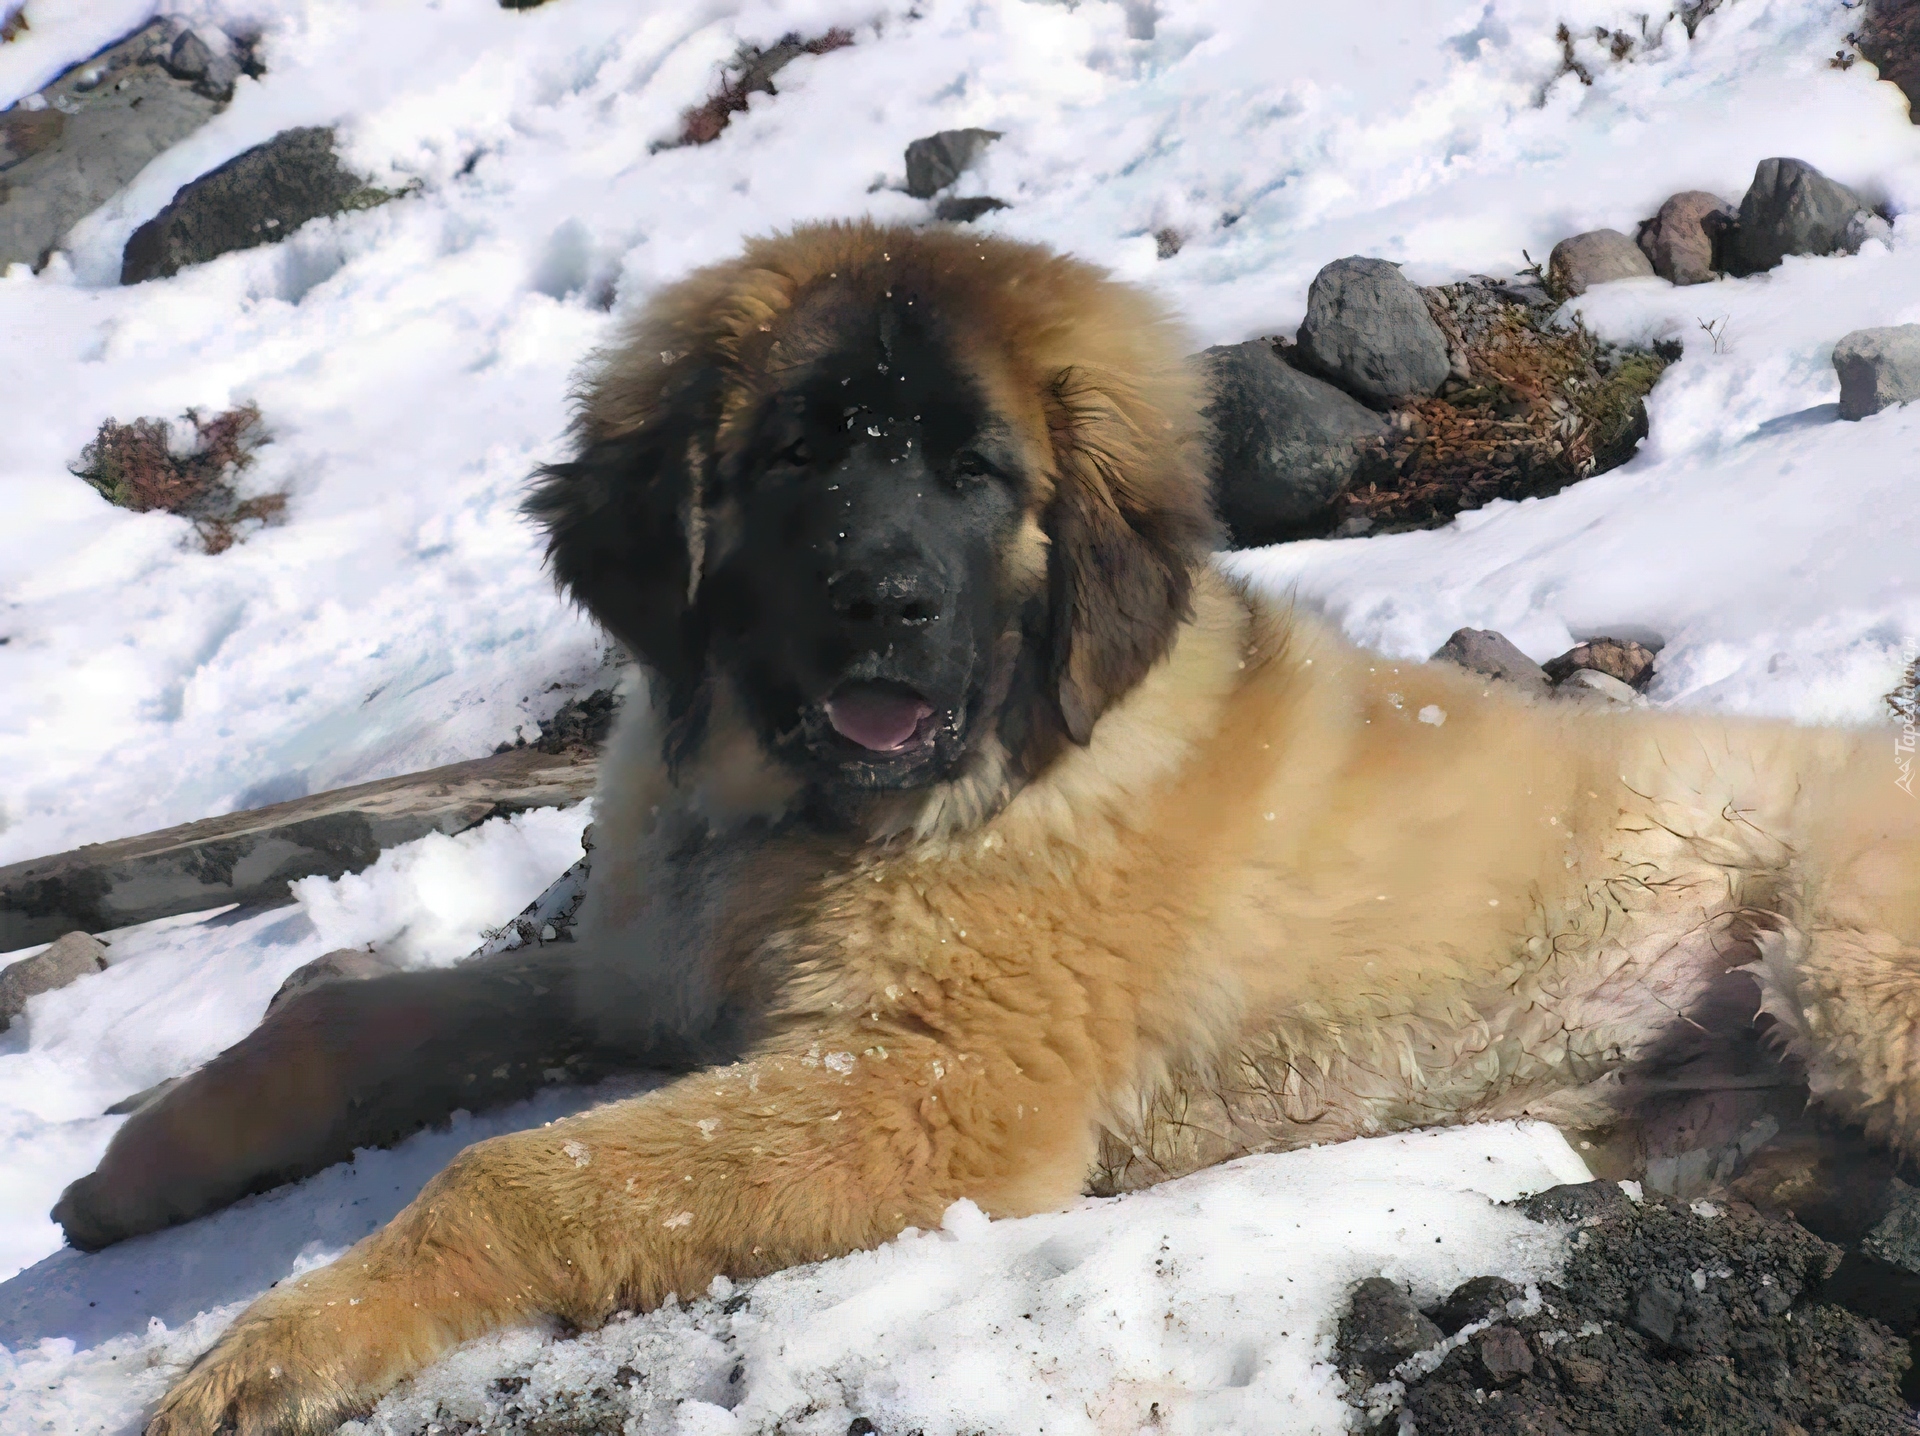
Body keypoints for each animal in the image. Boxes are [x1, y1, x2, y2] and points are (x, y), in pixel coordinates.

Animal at [52, 224, 1912, 1436]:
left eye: (976, 477)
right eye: (801, 457)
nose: (886, 600)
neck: (786, 819)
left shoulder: (948, 1085)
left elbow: (516, 1167)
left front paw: (274, 1349)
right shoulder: (635, 981)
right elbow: (350, 1020)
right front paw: (141, 1169)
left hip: (1841, 957)